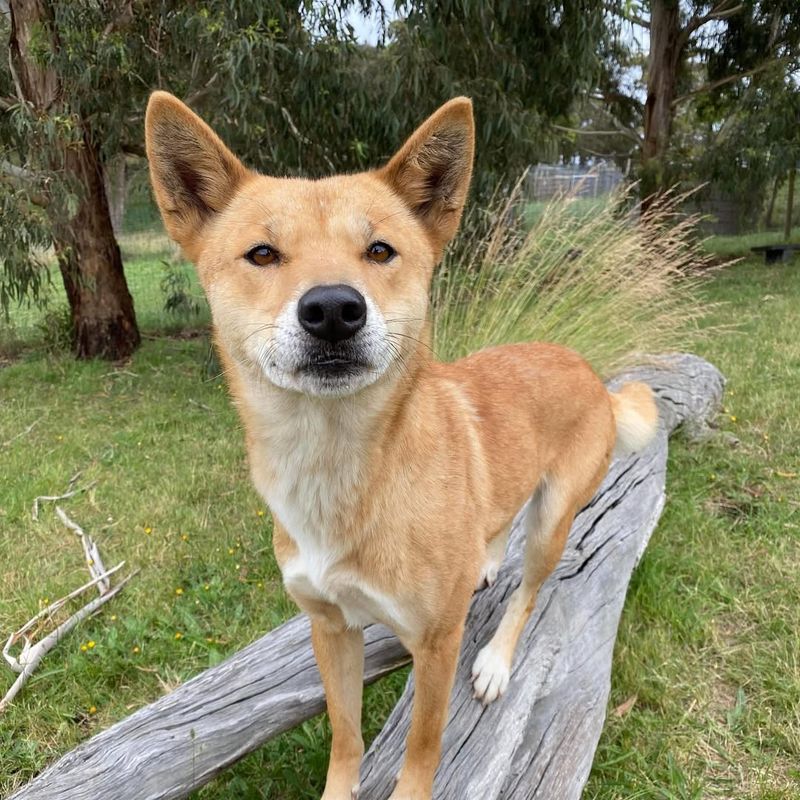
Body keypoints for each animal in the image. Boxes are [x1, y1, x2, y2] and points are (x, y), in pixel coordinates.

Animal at [147, 90, 660, 796]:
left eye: (381, 251)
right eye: (262, 254)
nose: (333, 310)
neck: (339, 471)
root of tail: (587, 370)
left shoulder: (436, 644)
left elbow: (422, 747)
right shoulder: (330, 626)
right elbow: (345, 735)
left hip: (555, 518)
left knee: (529, 592)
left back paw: (497, 660)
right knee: (496, 525)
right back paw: (484, 559)